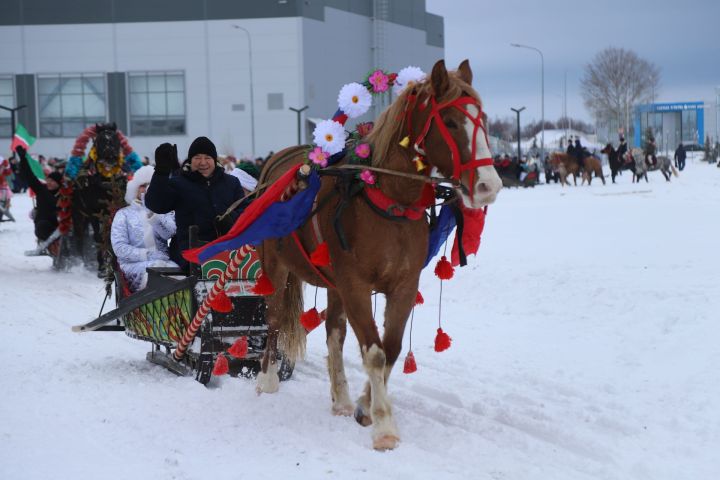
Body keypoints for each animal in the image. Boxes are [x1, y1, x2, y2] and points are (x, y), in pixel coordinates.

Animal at [72, 122, 129, 276]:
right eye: (99, 140)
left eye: (116, 139)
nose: (111, 157)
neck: (106, 181)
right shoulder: (94, 213)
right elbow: (98, 237)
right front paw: (102, 267)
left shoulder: (114, 209)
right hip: (79, 215)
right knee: (79, 236)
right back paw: (82, 261)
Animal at [255, 61, 500, 450]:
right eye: (449, 121)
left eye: (484, 118)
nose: (489, 185)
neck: (388, 198)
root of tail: (276, 165)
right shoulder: (355, 284)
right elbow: (375, 351)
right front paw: (384, 426)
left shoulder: (402, 285)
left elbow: (392, 348)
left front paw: (363, 404)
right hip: (276, 269)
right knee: (275, 319)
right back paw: (266, 380)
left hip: (332, 282)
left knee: (335, 332)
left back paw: (340, 398)